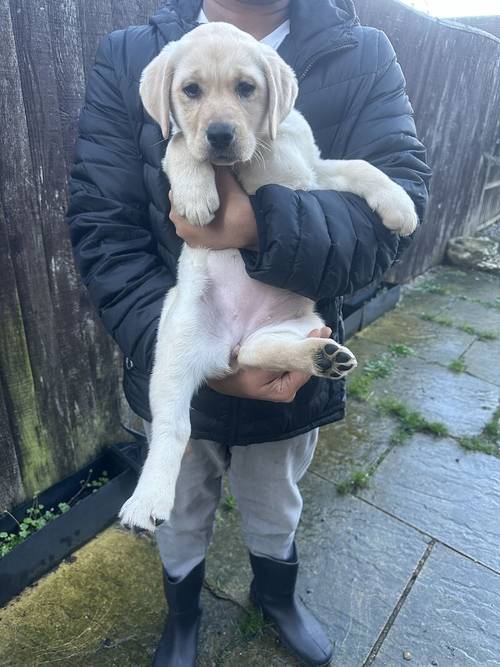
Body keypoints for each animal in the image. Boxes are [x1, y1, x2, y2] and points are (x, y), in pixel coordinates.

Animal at [119, 22, 416, 532]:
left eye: (246, 88)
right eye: (190, 91)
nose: (220, 135)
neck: (260, 148)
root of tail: (228, 348)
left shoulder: (311, 174)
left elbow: (359, 165)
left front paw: (400, 204)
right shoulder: (190, 147)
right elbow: (178, 145)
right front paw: (196, 194)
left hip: (295, 325)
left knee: (260, 351)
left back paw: (321, 357)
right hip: (175, 348)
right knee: (174, 428)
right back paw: (146, 500)